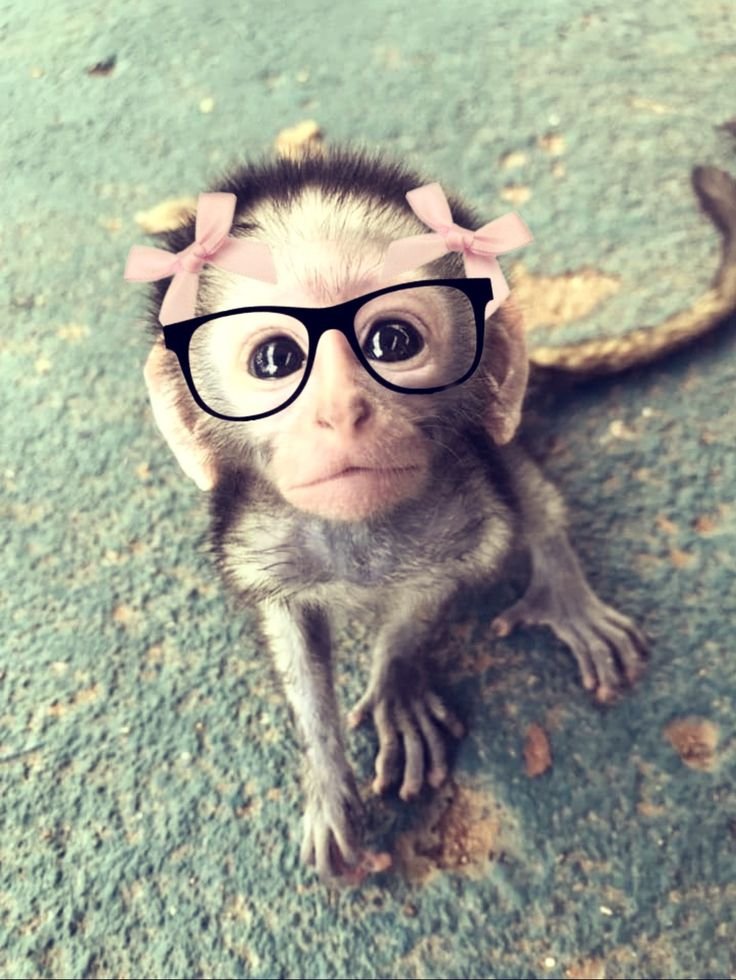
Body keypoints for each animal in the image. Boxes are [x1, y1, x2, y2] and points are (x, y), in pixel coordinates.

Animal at [125, 150, 736, 882]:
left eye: (393, 341)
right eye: (276, 360)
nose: (341, 411)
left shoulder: (464, 503)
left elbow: (453, 572)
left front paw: (397, 681)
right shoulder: (253, 535)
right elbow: (289, 625)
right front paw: (327, 777)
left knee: (517, 478)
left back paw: (564, 593)